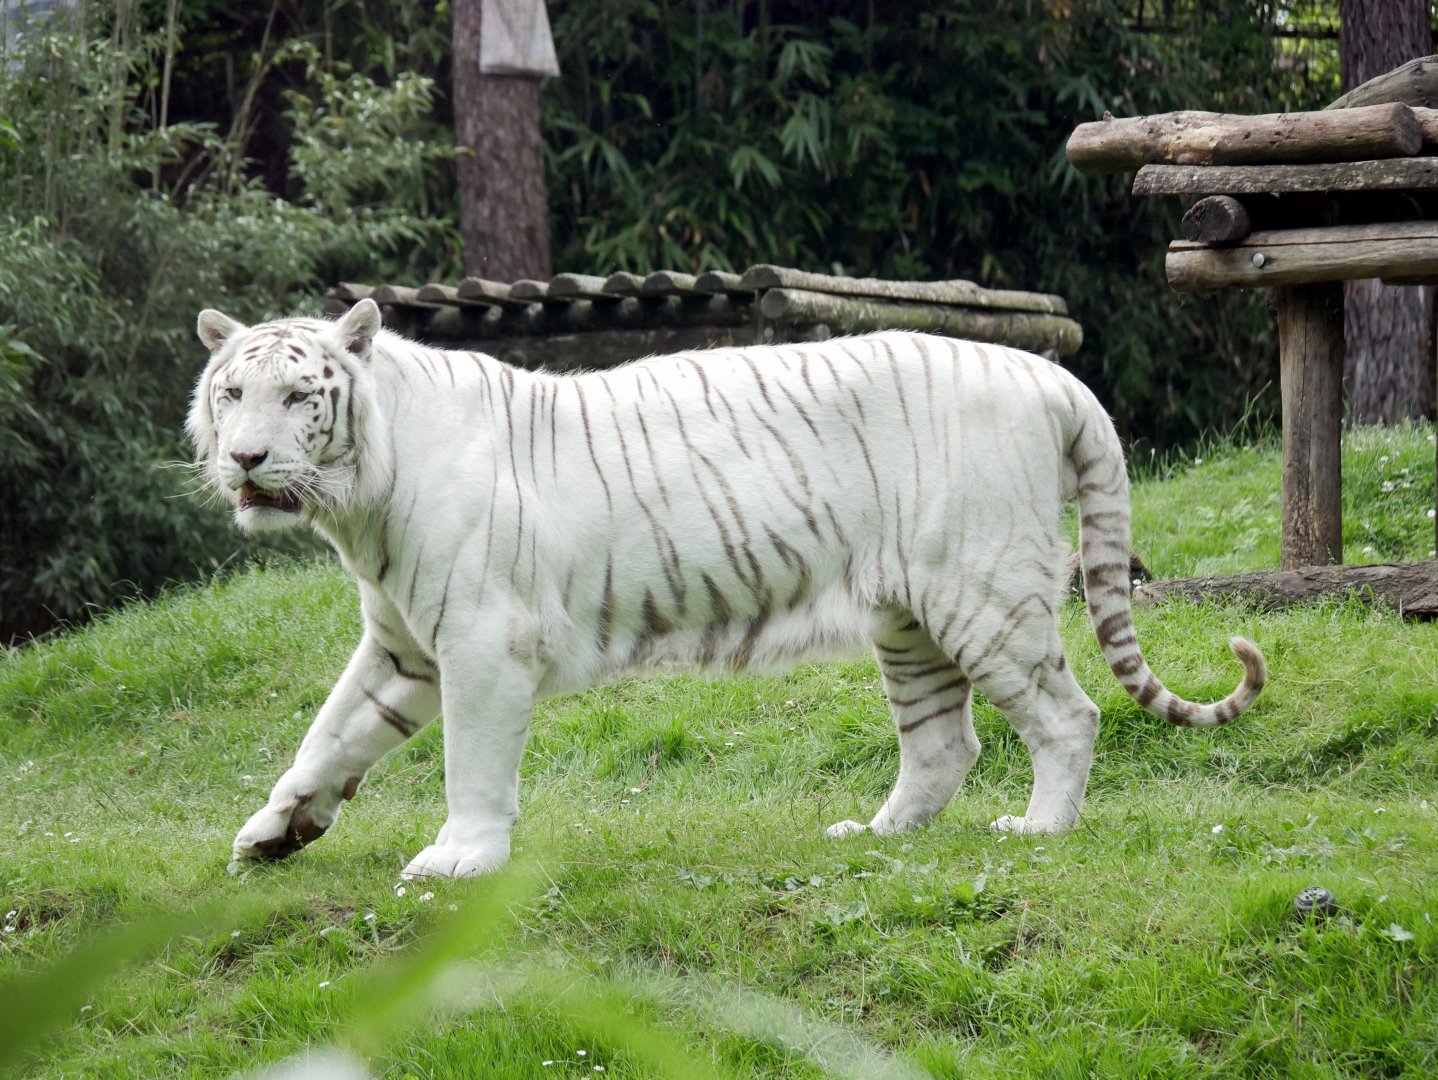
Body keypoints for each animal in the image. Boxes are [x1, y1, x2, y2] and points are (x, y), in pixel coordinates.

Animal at [188, 298, 1265, 879]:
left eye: (298, 396)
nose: (245, 460)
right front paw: (272, 834)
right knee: (943, 745)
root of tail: (1054, 379)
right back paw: (873, 836)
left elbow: (471, 766)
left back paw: (1039, 829)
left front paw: (459, 861)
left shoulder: (483, 645)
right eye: (231, 393)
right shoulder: (404, 647)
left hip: (982, 594)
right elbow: (327, 737)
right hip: (909, 618)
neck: (360, 506)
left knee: (1066, 714)